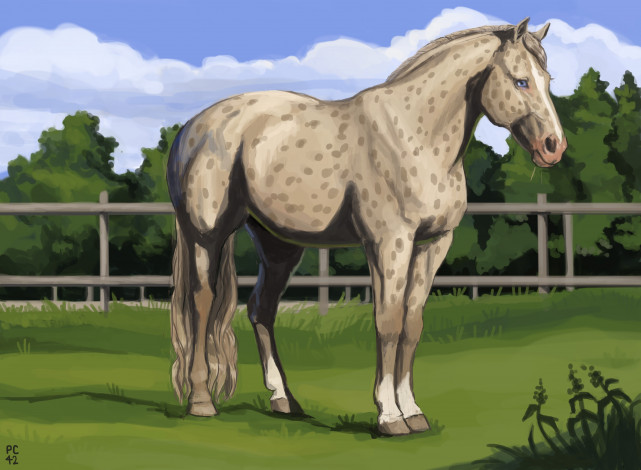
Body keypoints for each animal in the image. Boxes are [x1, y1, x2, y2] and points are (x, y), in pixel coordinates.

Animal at [166, 17, 566, 436]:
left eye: (547, 79)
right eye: (521, 80)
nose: (554, 146)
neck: (416, 136)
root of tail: (192, 128)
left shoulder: (434, 243)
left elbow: (412, 323)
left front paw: (413, 412)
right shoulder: (389, 243)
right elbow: (388, 321)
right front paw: (389, 416)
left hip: (279, 247)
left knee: (261, 309)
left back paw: (284, 400)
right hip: (206, 236)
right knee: (202, 302)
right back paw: (201, 401)